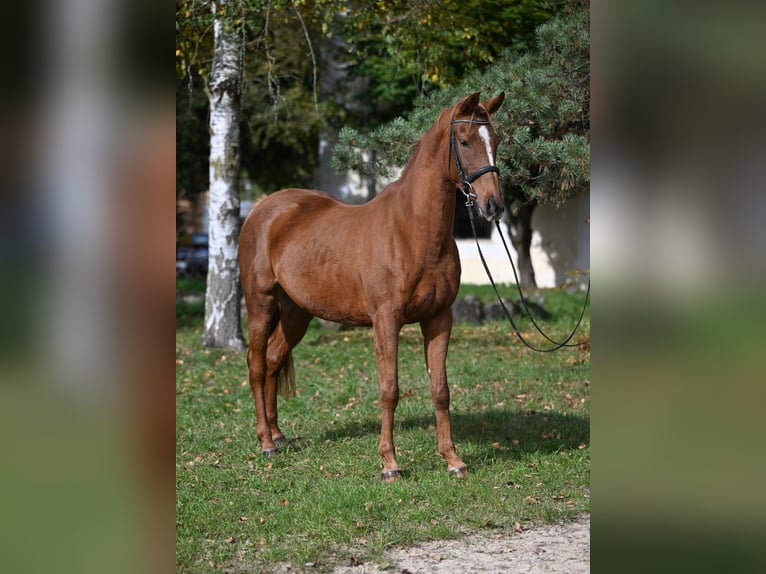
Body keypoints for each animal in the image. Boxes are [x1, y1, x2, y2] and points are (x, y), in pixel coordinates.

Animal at [239, 91, 505, 481]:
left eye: (496, 141)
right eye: (465, 141)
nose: (493, 205)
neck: (412, 231)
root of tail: (262, 206)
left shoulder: (439, 319)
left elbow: (440, 389)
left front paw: (453, 460)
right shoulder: (386, 321)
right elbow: (389, 390)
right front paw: (390, 464)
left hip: (296, 313)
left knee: (273, 360)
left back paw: (277, 434)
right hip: (260, 303)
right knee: (257, 365)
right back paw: (265, 442)